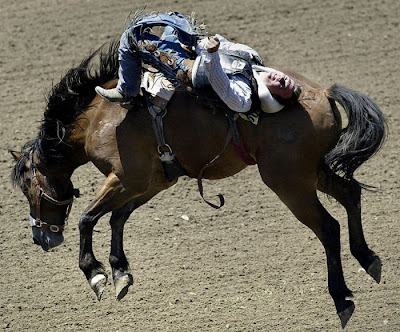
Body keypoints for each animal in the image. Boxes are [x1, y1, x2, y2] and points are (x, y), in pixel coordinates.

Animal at [8, 40, 384, 326]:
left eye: (28, 188)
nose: (40, 237)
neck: (99, 118)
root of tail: (323, 92)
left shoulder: (126, 178)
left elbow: (89, 218)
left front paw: (96, 274)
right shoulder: (150, 182)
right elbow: (117, 218)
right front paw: (120, 273)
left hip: (289, 182)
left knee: (328, 227)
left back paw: (342, 297)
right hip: (312, 171)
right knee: (350, 194)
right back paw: (368, 259)